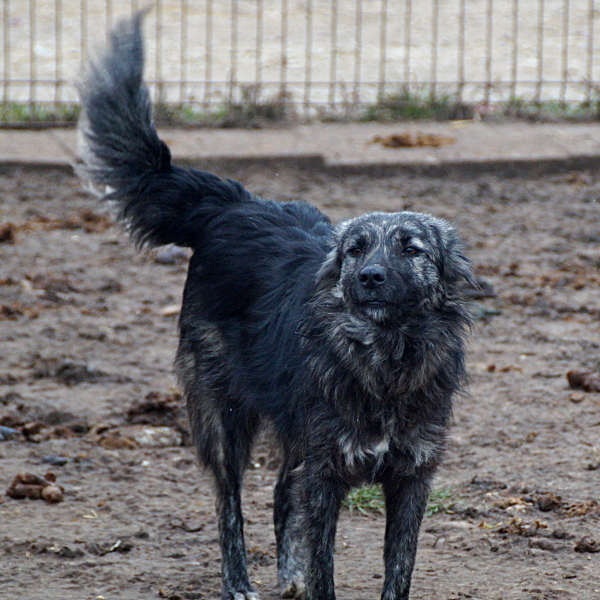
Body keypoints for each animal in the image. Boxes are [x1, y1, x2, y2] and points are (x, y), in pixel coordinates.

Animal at [76, 14, 474, 600]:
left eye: (412, 249)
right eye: (355, 249)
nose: (368, 277)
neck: (383, 360)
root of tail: (232, 206)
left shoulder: (410, 478)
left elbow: (395, 572)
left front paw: (304, 575)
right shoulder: (326, 473)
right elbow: (322, 566)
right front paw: (305, 580)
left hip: (292, 428)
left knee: (282, 494)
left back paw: (286, 577)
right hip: (224, 416)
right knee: (229, 505)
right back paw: (239, 581)